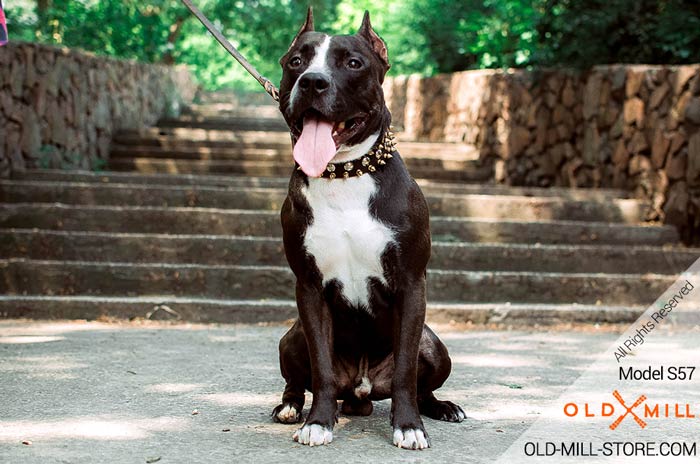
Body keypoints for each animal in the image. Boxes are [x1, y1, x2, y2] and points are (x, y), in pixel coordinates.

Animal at [272, 7, 464, 450]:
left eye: (353, 63)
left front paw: (408, 426)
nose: (312, 81)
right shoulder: (309, 289)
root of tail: (360, 391)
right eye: (297, 62)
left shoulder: (411, 284)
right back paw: (290, 407)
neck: (345, 174)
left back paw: (442, 407)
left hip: (435, 346)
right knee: (297, 379)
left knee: (420, 382)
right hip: (291, 338)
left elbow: (406, 371)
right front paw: (318, 422)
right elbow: (321, 370)